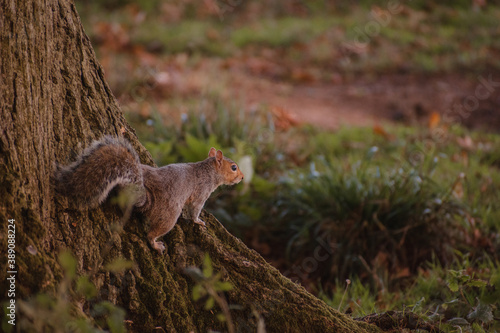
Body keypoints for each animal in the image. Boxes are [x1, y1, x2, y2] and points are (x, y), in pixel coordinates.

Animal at [54, 135, 244, 252]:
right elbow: (195, 210)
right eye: (234, 167)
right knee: (151, 234)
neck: (208, 171)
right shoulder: (201, 192)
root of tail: (147, 199)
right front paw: (198, 221)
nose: (242, 177)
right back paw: (156, 245)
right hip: (169, 216)